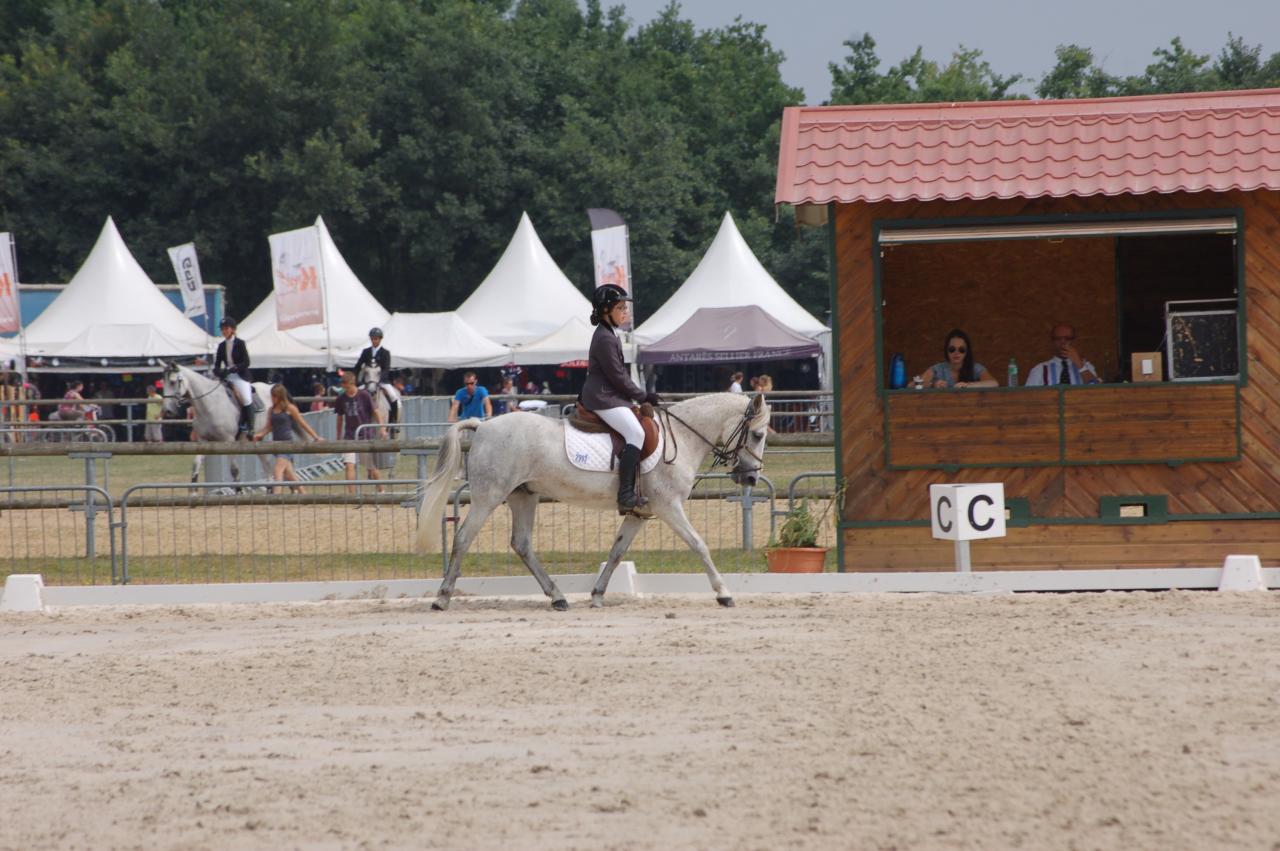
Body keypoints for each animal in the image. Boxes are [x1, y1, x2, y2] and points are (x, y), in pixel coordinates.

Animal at [417, 391, 768, 611]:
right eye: (758, 435)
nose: (751, 478)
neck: (681, 438)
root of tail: (483, 425)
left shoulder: (639, 513)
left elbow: (616, 551)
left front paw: (598, 594)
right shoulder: (668, 506)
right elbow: (699, 544)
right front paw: (723, 593)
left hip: (523, 496)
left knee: (522, 544)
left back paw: (558, 597)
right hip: (489, 496)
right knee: (464, 538)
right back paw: (442, 598)